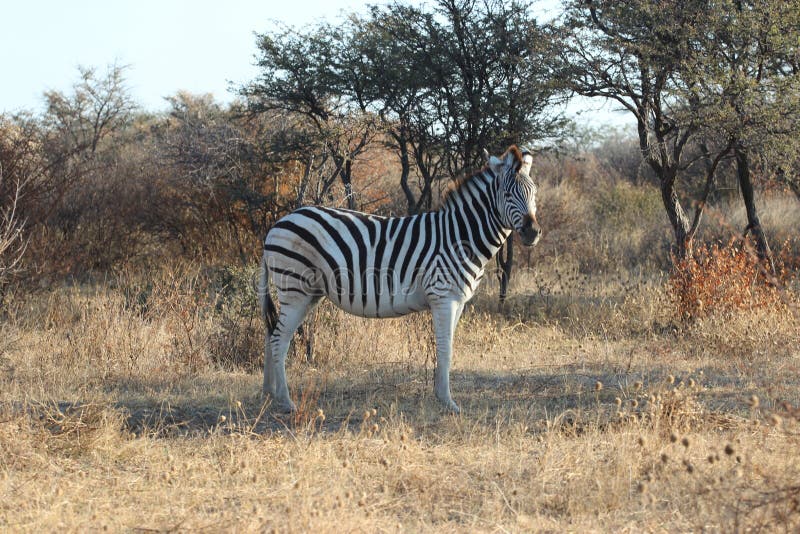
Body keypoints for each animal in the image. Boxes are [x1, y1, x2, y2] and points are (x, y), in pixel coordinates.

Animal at [257, 145, 541, 413]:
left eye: (534, 193)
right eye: (507, 195)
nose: (533, 232)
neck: (460, 237)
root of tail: (276, 225)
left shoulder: (459, 300)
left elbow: (447, 347)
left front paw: (440, 395)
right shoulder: (443, 297)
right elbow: (445, 349)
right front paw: (447, 402)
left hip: (309, 295)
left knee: (272, 334)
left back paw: (270, 393)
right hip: (295, 290)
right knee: (279, 340)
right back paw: (286, 402)